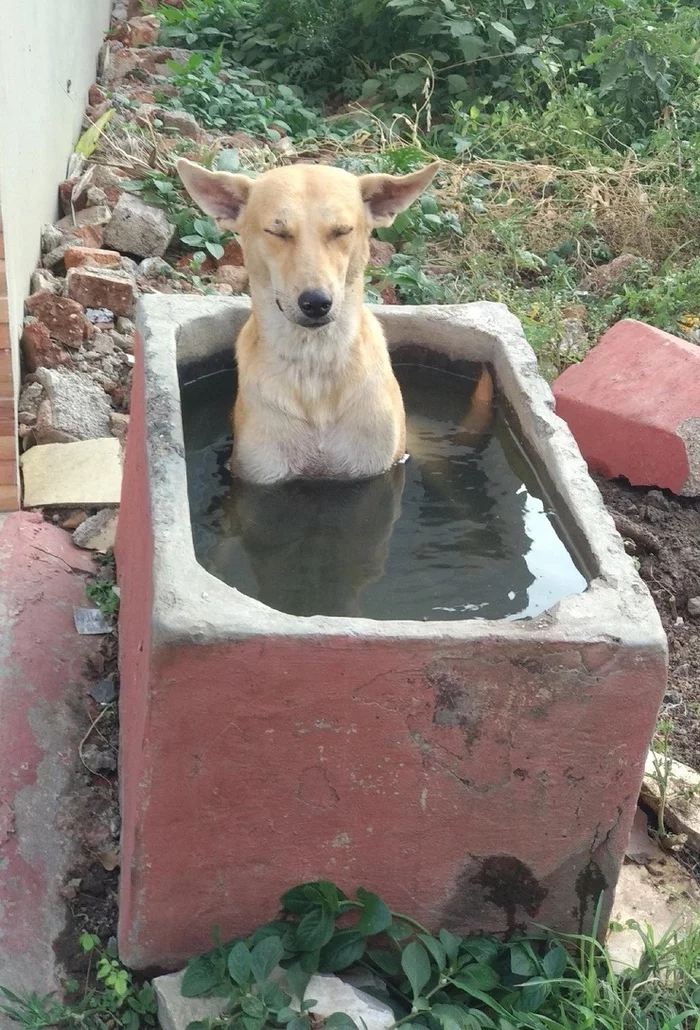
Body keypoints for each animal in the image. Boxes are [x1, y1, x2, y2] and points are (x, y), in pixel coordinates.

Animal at [175, 157, 436, 486]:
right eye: (277, 232)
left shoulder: (376, 470)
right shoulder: (259, 475)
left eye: (341, 231)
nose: (316, 303)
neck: (314, 364)